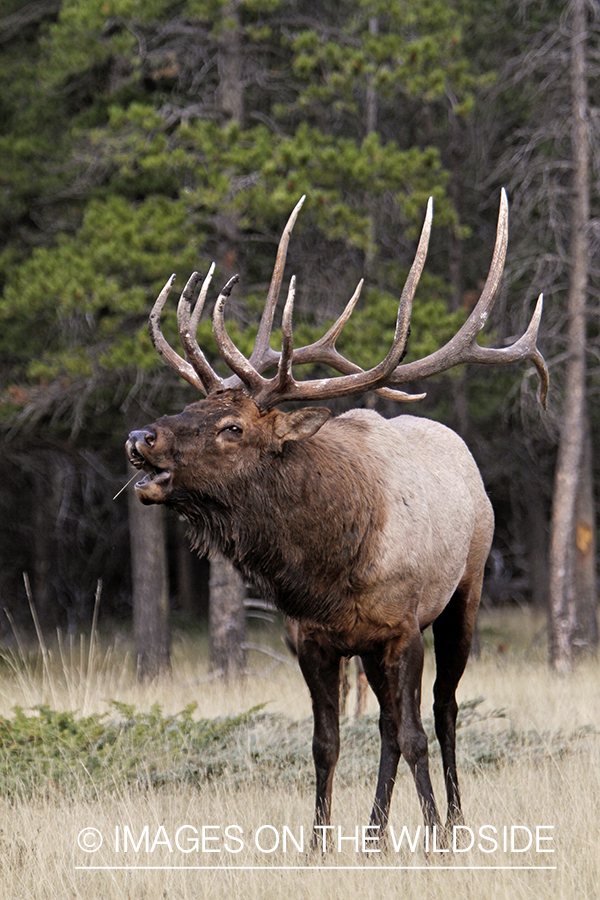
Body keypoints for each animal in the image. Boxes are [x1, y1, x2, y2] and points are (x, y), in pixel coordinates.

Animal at [126, 191, 548, 843]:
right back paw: (374, 836)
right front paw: (319, 844)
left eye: (233, 427)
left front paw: (434, 838)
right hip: (371, 651)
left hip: (466, 591)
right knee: (383, 729)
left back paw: (452, 820)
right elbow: (326, 743)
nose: (139, 437)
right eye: (193, 403)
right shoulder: (313, 639)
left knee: (444, 710)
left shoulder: (403, 627)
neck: (329, 567)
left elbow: (416, 735)